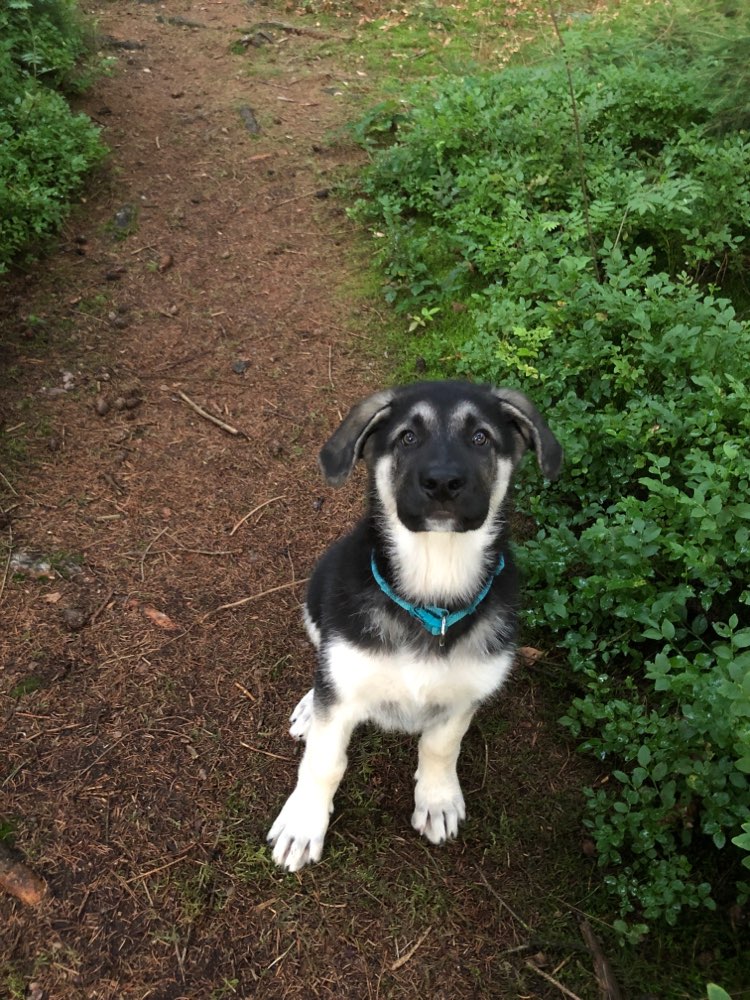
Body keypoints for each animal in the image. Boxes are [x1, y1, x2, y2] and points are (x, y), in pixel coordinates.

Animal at [268, 378, 560, 872]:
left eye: (480, 437)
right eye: (407, 437)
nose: (442, 482)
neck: (433, 586)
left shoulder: (465, 694)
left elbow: (441, 746)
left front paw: (437, 800)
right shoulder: (343, 683)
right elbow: (324, 760)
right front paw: (304, 822)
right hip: (316, 600)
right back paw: (309, 707)